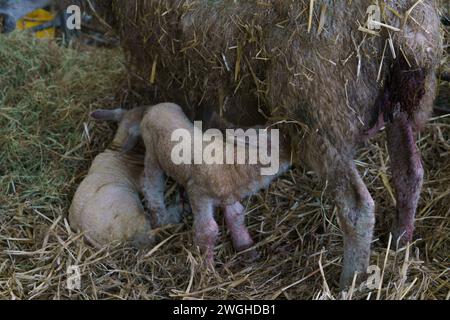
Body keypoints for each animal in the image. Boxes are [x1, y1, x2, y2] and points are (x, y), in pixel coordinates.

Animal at [93, 0, 442, 284]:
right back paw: (400, 240)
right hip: (400, 107)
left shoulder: (169, 73)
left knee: (357, 206)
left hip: (319, 114)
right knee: (409, 174)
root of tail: (405, 27)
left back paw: (350, 281)